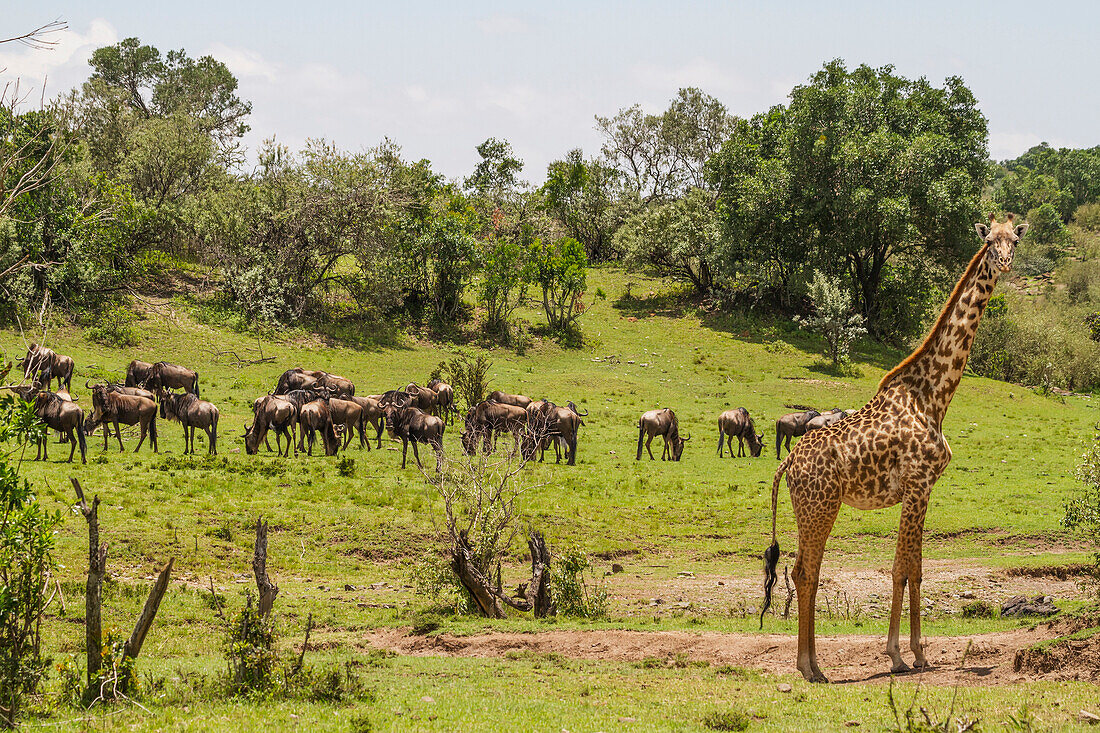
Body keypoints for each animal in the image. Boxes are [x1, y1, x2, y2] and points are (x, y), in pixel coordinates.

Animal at [761, 211, 1025, 677]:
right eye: (989, 241)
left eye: (1015, 239)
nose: (1006, 262)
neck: (935, 395)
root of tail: (787, 464)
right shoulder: (918, 485)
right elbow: (903, 568)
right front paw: (901, 655)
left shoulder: (924, 489)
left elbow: (916, 567)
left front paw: (918, 653)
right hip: (820, 506)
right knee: (805, 572)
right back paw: (811, 668)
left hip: (809, 508)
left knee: (802, 571)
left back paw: (811, 664)